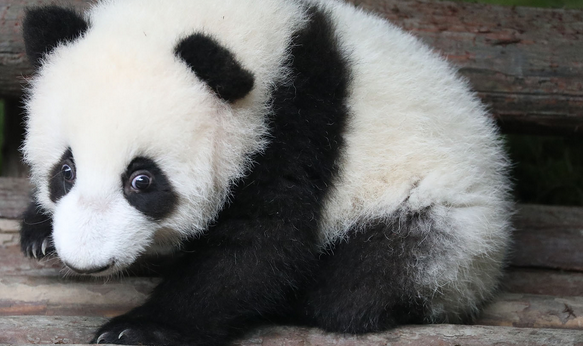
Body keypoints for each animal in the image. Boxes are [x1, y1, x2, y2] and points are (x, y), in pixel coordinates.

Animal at [19, 0, 512, 344]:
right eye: (66, 171)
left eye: (142, 180)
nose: (87, 262)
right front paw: (38, 231)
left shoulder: (298, 126)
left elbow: (258, 246)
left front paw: (137, 329)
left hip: (443, 225)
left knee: (364, 283)